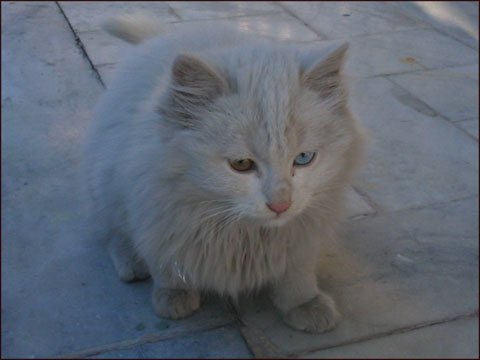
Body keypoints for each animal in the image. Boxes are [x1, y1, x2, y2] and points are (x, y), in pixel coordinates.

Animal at [83, 14, 368, 334]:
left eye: (304, 158)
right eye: (241, 164)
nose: (281, 205)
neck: (245, 232)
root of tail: (164, 35)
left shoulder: (303, 233)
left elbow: (297, 274)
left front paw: (305, 304)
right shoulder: (159, 212)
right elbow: (166, 262)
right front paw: (174, 295)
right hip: (106, 185)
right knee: (114, 232)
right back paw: (132, 263)